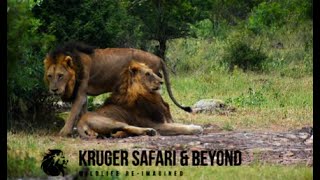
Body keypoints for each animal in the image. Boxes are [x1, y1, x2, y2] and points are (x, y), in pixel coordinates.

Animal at [44, 41, 192, 136]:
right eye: (50, 76)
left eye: (60, 75)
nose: (53, 90)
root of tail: (158, 57)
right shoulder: (84, 94)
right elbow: (82, 113)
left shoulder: (80, 93)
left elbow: (73, 113)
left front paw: (64, 132)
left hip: (151, 86)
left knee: (165, 104)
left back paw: (170, 122)